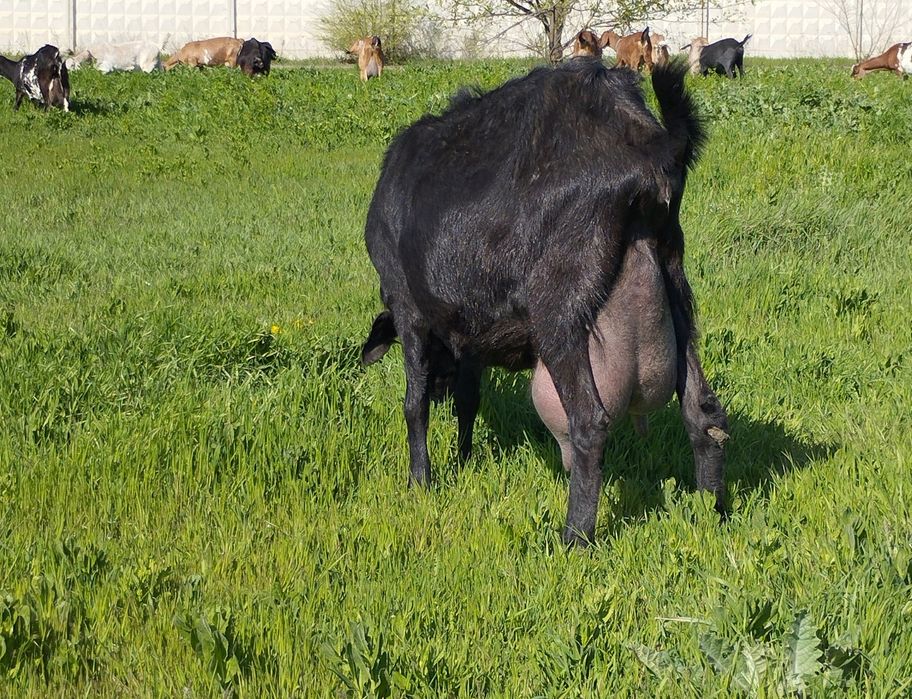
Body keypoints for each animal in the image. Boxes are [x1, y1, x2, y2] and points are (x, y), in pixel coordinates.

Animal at [361, 59, 728, 546]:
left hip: (559, 312)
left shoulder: (409, 310)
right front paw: (464, 459)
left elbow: (413, 403)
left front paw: (420, 480)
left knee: (589, 423)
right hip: (675, 284)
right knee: (703, 412)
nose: (442, 382)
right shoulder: (472, 334)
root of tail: (648, 145)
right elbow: (468, 400)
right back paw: (712, 512)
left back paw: (575, 537)